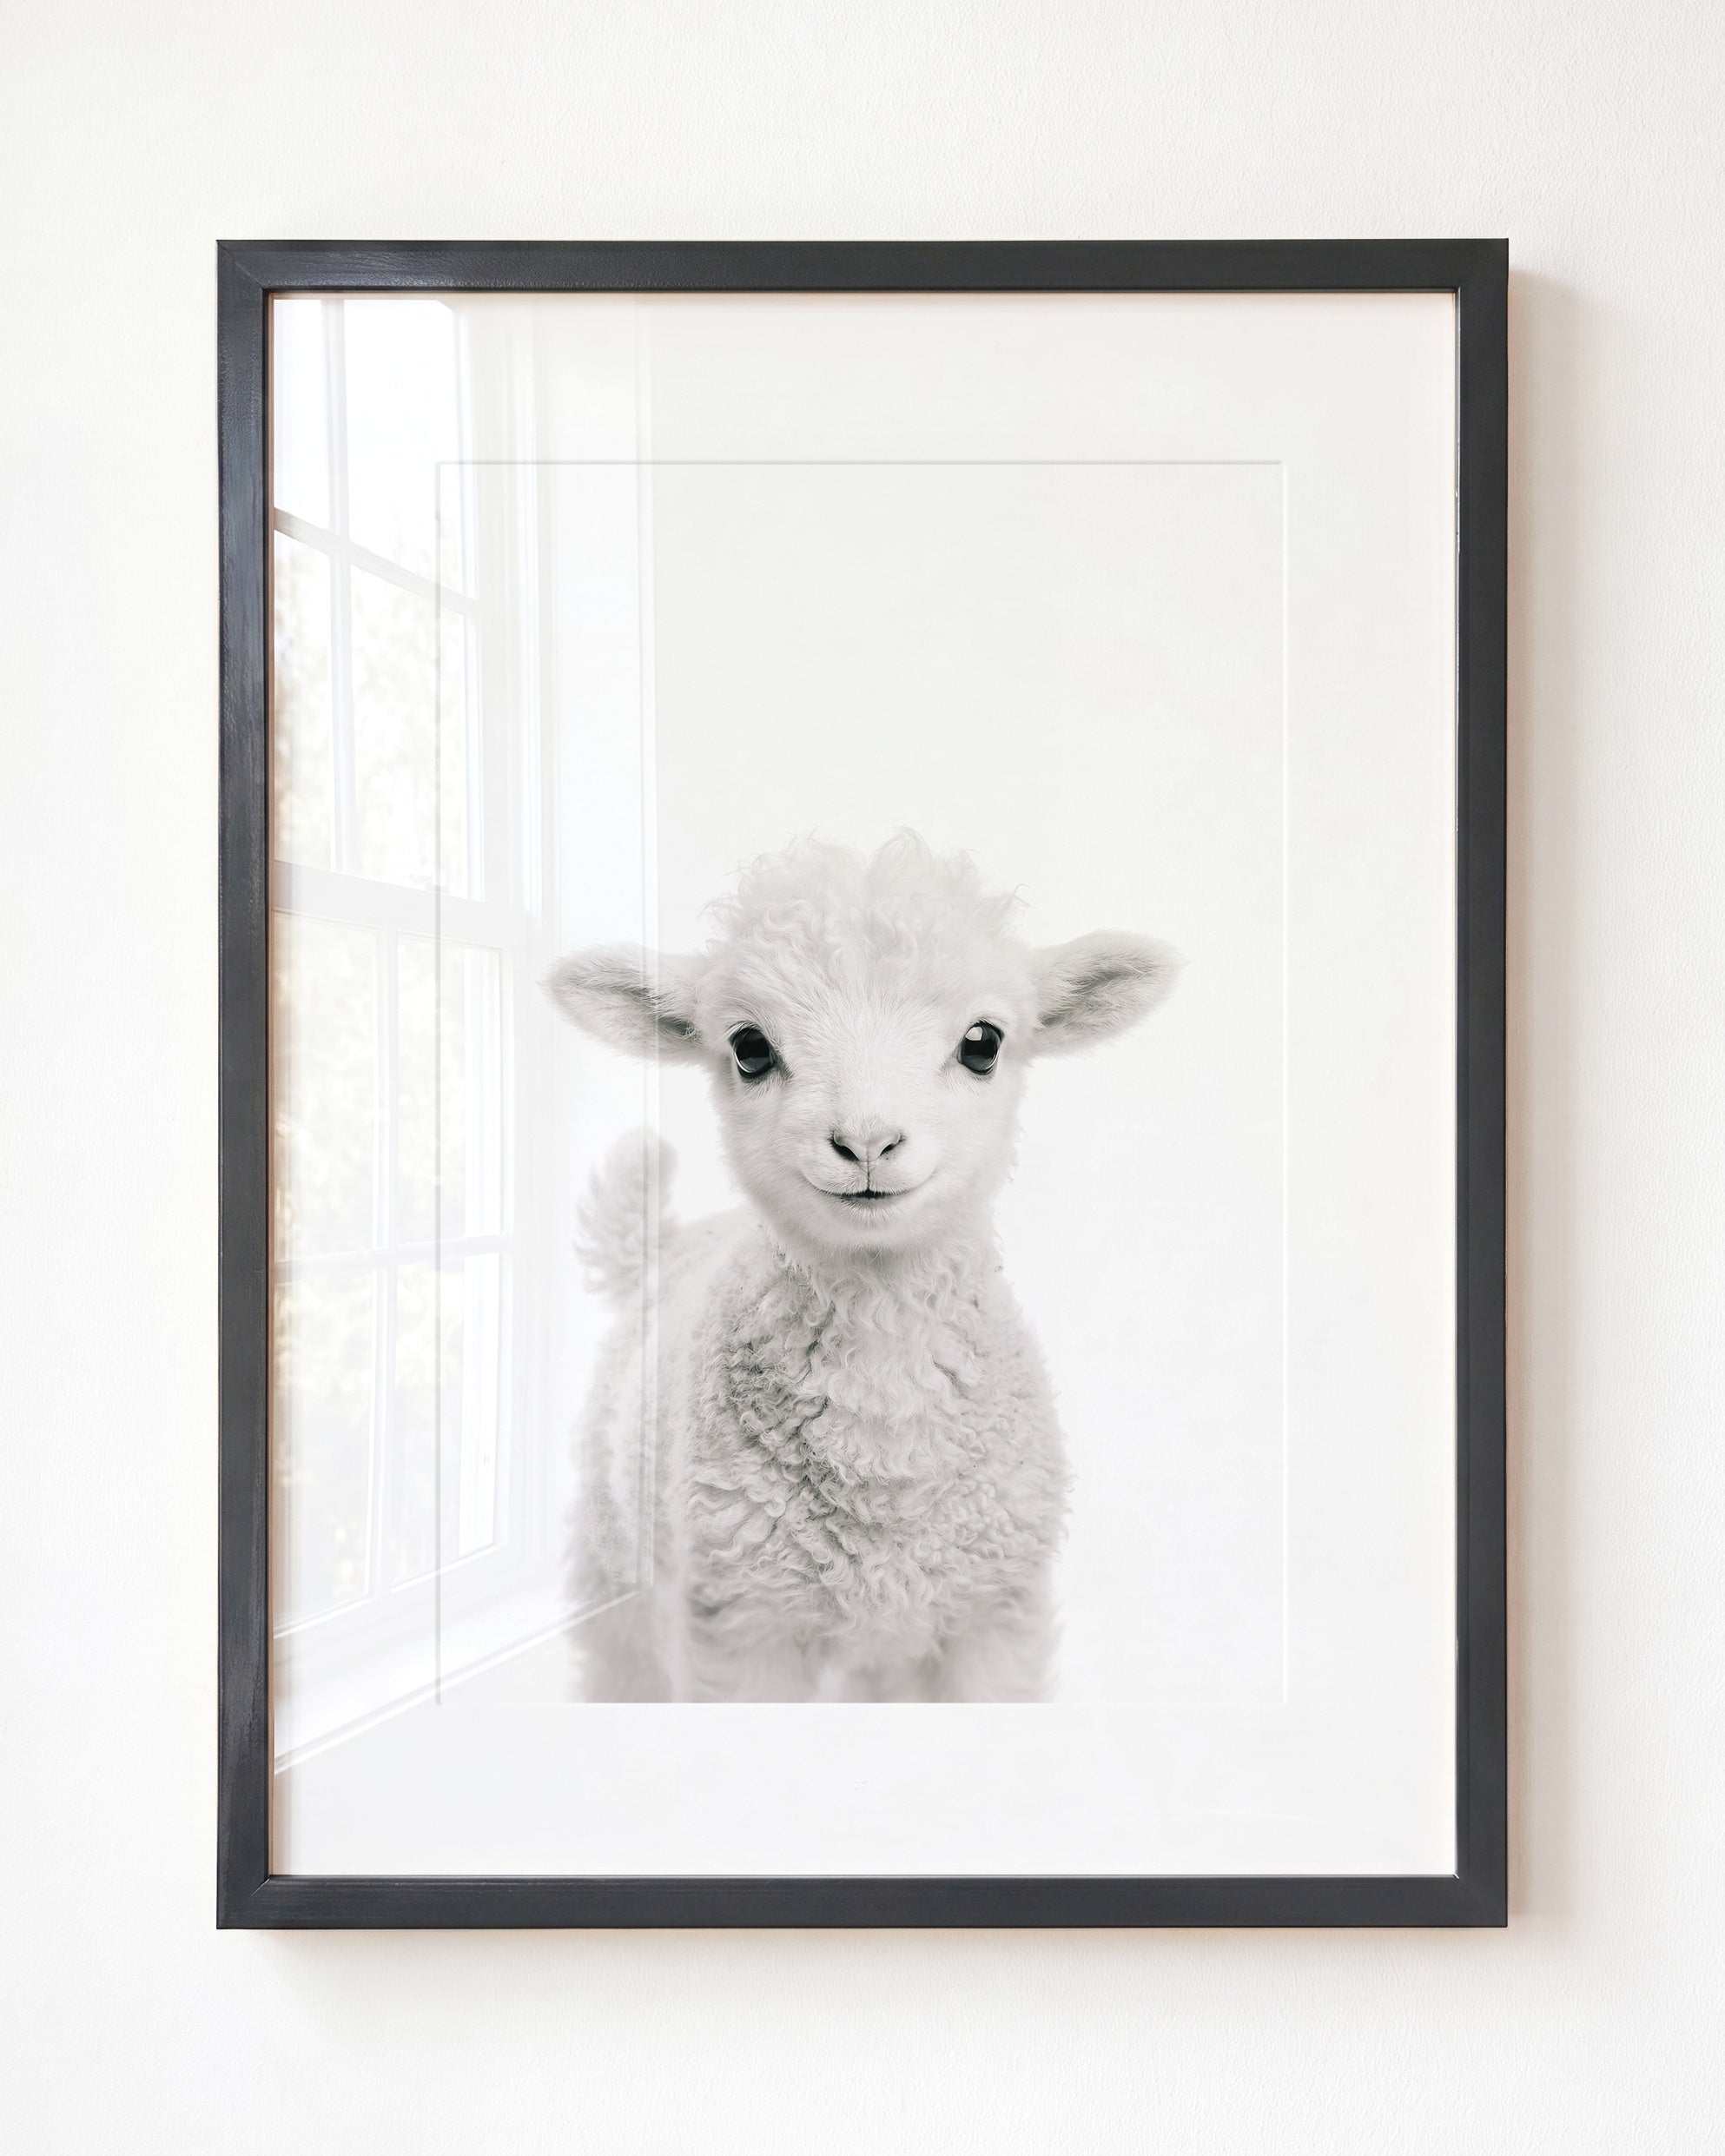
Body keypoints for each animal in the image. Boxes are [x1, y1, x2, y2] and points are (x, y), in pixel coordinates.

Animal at [544, 832, 1177, 1702]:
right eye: (749, 1048)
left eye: (983, 1043)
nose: (867, 1142)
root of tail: (665, 1244)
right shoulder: (742, 1626)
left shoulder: (993, 1617)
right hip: (619, 1575)